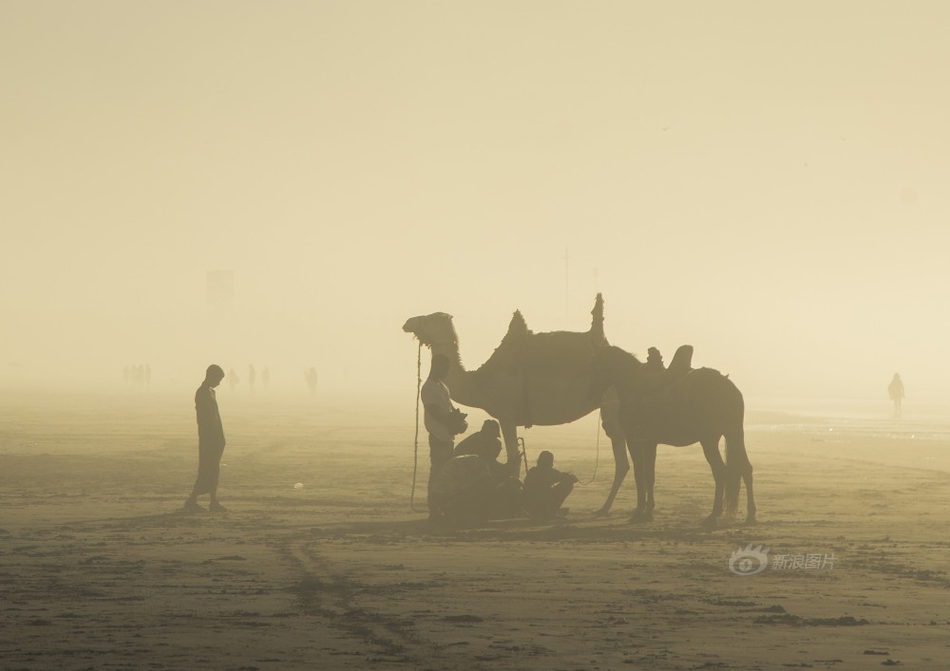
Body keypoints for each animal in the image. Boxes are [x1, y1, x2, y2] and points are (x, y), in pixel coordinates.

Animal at [400, 296, 632, 516]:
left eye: (429, 319)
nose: (408, 322)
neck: (481, 381)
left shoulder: (506, 415)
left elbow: (513, 460)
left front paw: (518, 507)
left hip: (611, 404)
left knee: (621, 457)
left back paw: (605, 508)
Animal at [588, 346, 760, 532]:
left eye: (596, 363)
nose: (592, 391)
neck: (632, 385)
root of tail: (727, 387)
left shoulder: (636, 441)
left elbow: (642, 475)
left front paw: (642, 512)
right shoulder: (648, 443)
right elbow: (646, 475)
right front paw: (646, 511)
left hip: (709, 440)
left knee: (721, 472)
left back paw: (713, 515)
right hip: (734, 434)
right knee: (746, 469)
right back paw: (750, 515)